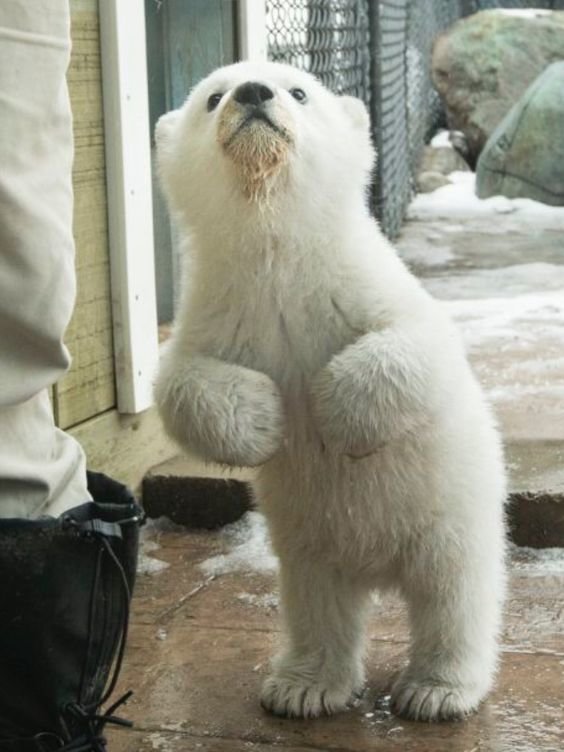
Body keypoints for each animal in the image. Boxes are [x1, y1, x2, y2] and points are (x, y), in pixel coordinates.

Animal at [154, 61, 507, 723]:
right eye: (212, 97)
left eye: (298, 90)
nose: (252, 93)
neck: (276, 250)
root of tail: (378, 567)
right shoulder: (221, 310)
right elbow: (177, 382)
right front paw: (264, 420)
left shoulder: (360, 285)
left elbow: (421, 344)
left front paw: (331, 410)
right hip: (309, 541)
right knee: (317, 601)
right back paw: (301, 686)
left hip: (451, 513)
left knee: (454, 594)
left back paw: (436, 690)